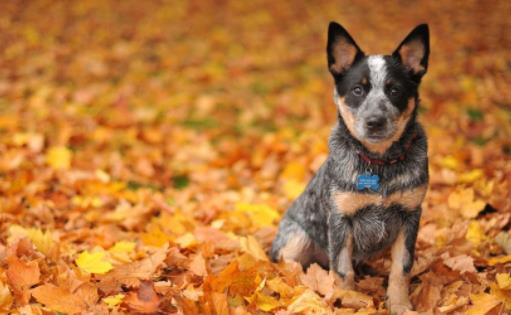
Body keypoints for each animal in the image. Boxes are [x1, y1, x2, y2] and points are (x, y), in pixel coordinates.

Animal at [272, 22, 432, 315]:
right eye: (358, 90)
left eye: (394, 90)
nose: (375, 121)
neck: (379, 164)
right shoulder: (340, 220)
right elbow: (342, 270)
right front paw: (349, 303)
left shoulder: (410, 216)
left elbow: (401, 268)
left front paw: (400, 304)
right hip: (294, 240)